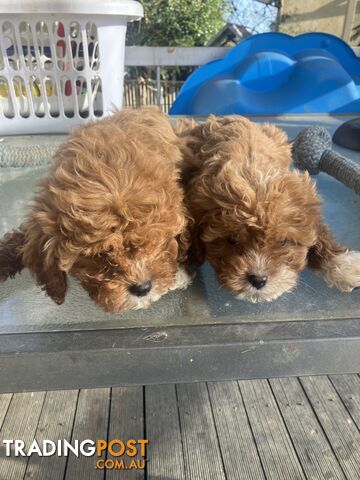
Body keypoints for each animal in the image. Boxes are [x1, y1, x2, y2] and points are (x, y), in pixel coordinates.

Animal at [177, 116, 360, 302]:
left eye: (284, 241)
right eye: (232, 240)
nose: (258, 280)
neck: (251, 167)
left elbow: (321, 231)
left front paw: (343, 263)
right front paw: (180, 268)